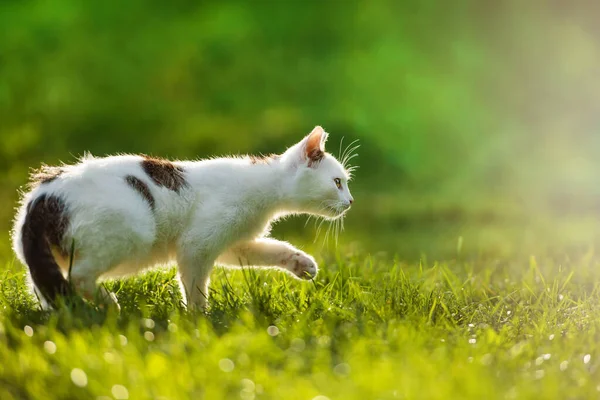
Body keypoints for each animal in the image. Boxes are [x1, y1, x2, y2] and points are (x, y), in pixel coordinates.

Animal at [9, 126, 354, 310]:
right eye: (338, 182)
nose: (350, 202)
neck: (262, 188)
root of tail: (41, 197)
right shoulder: (196, 244)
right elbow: (195, 284)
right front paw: (200, 320)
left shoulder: (232, 242)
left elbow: (269, 249)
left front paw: (302, 263)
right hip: (133, 230)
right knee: (78, 276)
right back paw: (108, 304)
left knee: (47, 285)